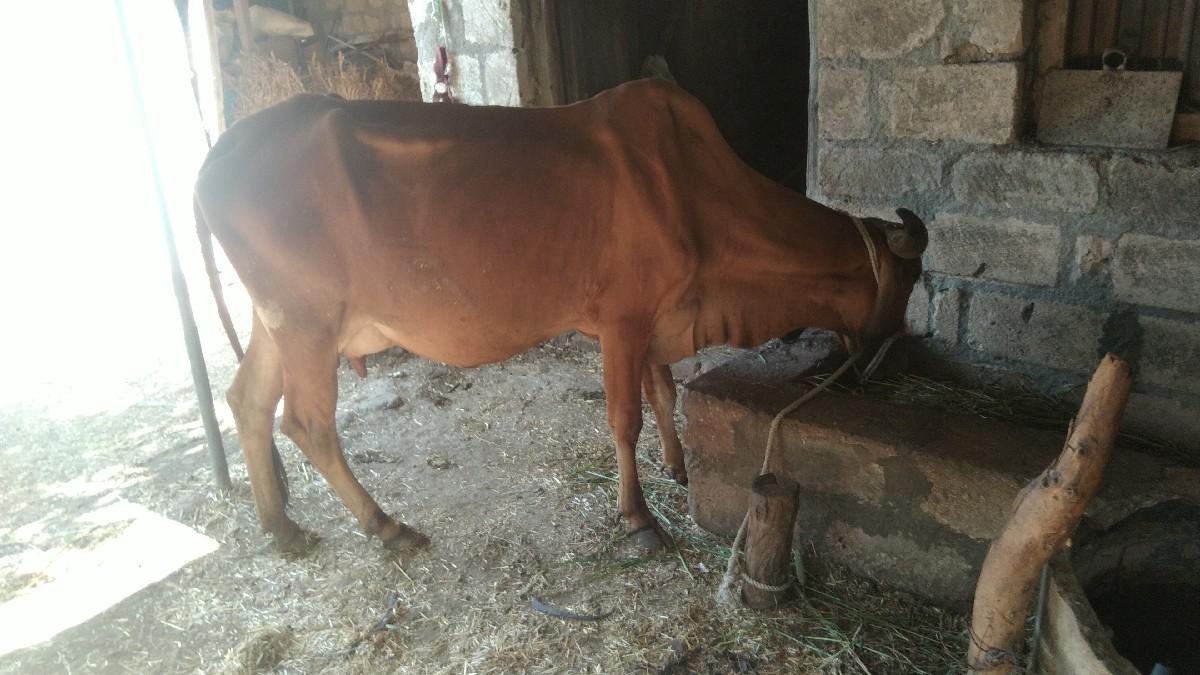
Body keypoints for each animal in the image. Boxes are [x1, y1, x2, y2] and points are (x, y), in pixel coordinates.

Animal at [193, 78, 927, 556]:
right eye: (912, 283)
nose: (882, 362)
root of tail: (215, 158)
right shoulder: (623, 323)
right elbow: (624, 419)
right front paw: (638, 518)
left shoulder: (656, 321)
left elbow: (663, 393)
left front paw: (678, 466)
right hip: (308, 322)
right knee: (307, 423)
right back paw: (386, 527)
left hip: (276, 322)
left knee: (248, 400)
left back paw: (282, 528)